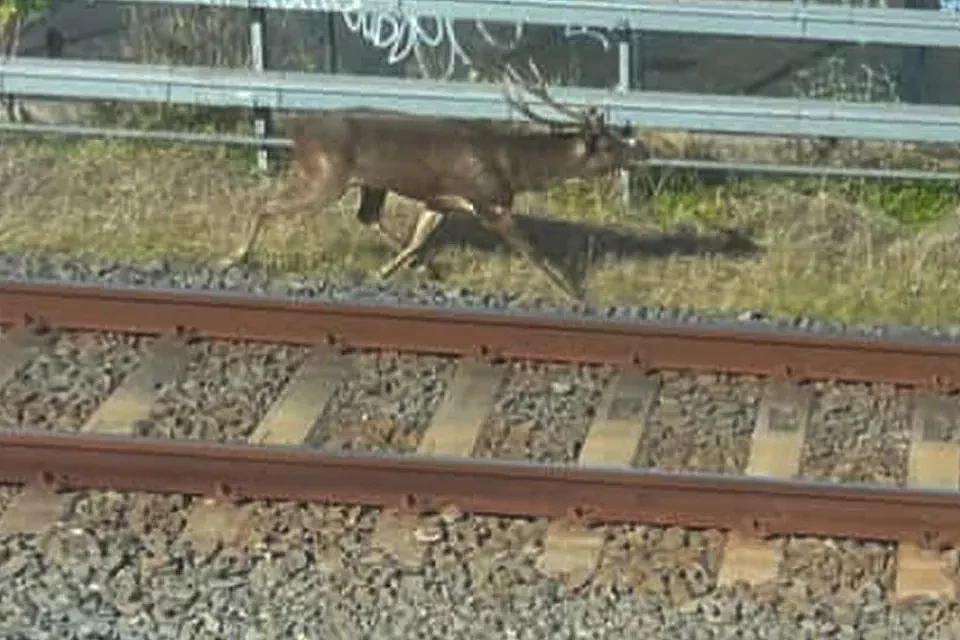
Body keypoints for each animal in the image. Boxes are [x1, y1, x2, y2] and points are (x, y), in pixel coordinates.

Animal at [220, 60, 647, 299]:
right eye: (609, 144)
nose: (640, 148)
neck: (515, 167)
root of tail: (298, 130)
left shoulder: (441, 200)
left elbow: (417, 239)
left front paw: (389, 271)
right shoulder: (491, 202)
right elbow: (533, 250)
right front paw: (575, 293)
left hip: (369, 182)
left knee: (367, 216)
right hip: (326, 175)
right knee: (267, 204)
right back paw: (233, 256)